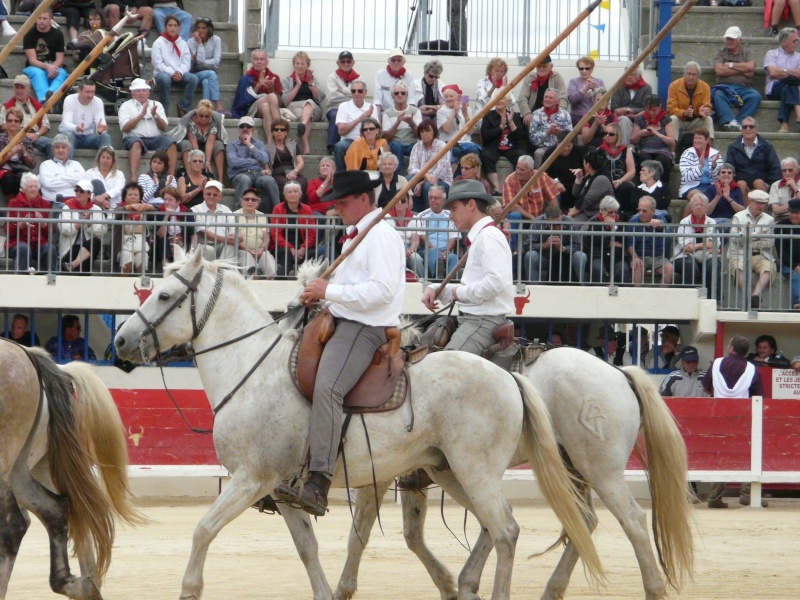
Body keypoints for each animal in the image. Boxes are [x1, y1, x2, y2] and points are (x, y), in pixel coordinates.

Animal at [0, 342, 142, 600]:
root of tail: (27, 352)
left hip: (7, 461)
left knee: (14, 526)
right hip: (20, 467)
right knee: (56, 509)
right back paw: (80, 584)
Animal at [111, 247, 600, 596]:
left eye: (165, 296)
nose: (121, 341)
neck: (251, 368)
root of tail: (510, 378)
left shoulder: (251, 478)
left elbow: (203, 530)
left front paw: (189, 589)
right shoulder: (283, 492)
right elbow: (308, 550)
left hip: (477, 470)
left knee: (506, 531)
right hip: (450, 471)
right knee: (502, 525)